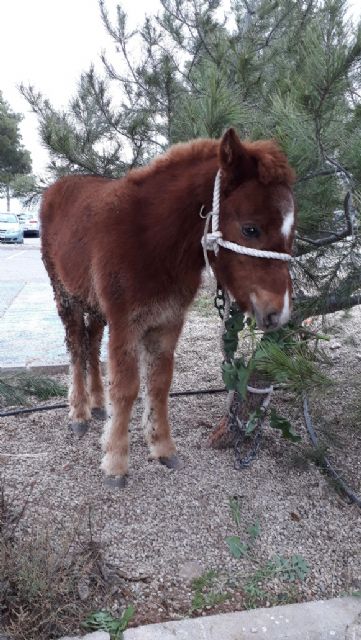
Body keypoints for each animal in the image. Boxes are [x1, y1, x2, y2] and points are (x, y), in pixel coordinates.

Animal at [40, 127, 294, 488]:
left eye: (292, 231)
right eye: (250, 229)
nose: (278, 313)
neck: (153, 242)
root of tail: (55, 188)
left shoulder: (169, 322)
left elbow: (160, 384)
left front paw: (162, 448)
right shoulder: (126, 323)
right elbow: (127, 389)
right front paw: (115, 463)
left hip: (95, 303)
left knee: (91, 343)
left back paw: (98, 405)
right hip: (65, 294)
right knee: (76, 345)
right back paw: (79, 414)